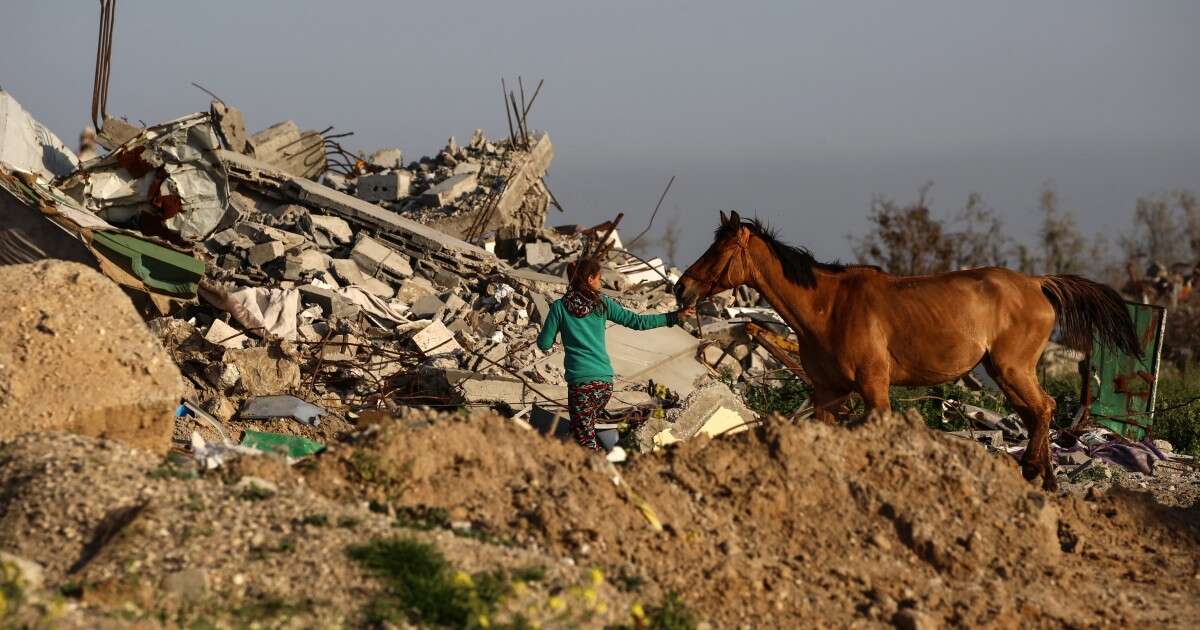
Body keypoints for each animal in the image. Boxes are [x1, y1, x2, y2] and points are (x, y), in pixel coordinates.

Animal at [681, 208, 1137, 489]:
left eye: (720, 251)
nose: (682, 287)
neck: (829, 307)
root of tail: (1038, 283)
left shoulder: (874, 389)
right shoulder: (828, 393)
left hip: (1012, 368)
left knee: (1043, 408)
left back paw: (1034, 472)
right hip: (1005, 371)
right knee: (1035, 412)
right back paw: (1044, 477)